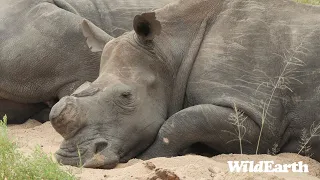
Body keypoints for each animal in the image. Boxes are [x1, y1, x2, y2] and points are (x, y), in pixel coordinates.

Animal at [49, 0, 320, 168]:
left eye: (126, 96)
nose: (69, 159)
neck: (170, 52)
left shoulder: (262, 122)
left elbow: (180, 122)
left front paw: (148, 158)